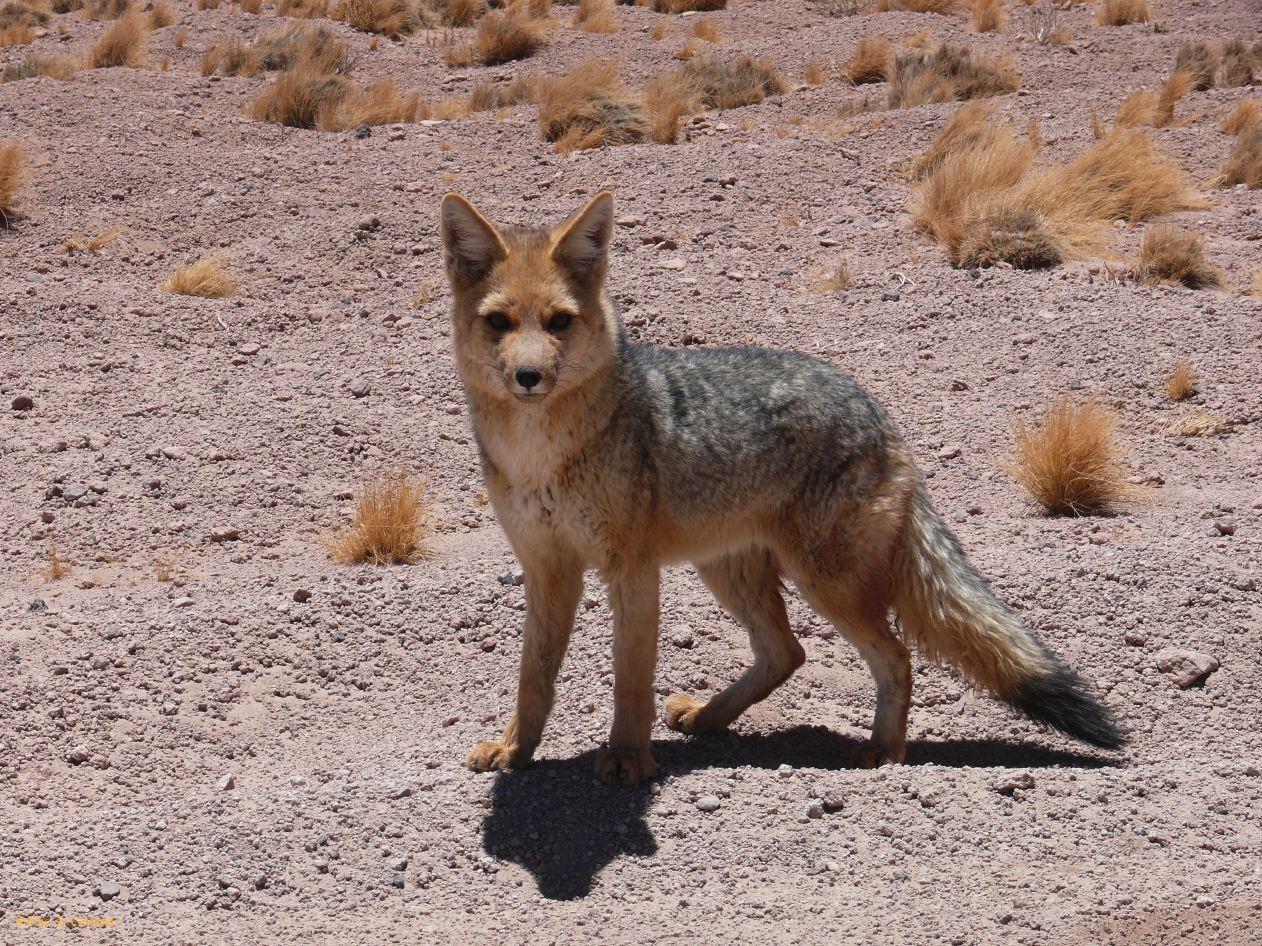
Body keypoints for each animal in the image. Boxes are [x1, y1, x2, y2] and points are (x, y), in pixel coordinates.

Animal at [439, 190, 1130, 787]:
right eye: (499, 323)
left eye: (559, 322)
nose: (529, 376)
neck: (541, 454)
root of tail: (880, 413)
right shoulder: (546, 566)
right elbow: (533, 676)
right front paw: (515, 750)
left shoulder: (630, 569)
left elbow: (631, 675)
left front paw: (630, 759)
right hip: (729, 571)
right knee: (786, 652)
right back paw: (709, 718)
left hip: (822, 581)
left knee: (893, 657)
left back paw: (884, 752)